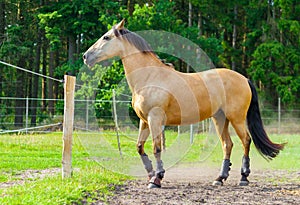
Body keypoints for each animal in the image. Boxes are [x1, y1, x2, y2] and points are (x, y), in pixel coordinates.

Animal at [83, 20, 284, 188]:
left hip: (236, 118)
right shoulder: (144, 121)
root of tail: (244, 79)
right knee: (228, 145)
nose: (86, 56)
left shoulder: (155, 119)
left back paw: (243, 177)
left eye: (106, 37)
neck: (149, 77)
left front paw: (156, 179)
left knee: (246, 141)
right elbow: (140, 147)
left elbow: (156, 147)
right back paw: (219, 178)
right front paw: (151, 174)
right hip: (220, 119)